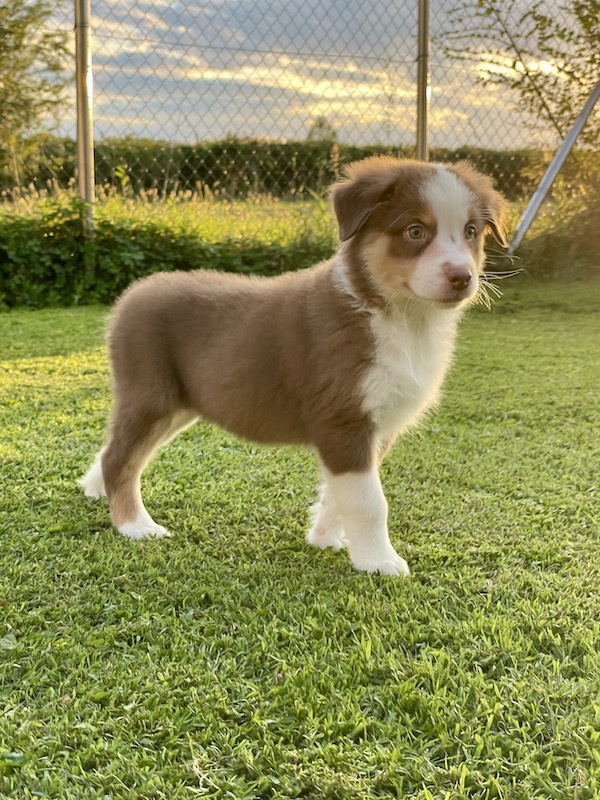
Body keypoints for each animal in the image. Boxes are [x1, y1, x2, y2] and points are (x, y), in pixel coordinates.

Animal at [81, 156, 506, 580]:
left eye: (471, 232)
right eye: (415, 231)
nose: (462, 277)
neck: (401, 317)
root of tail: (132, 294)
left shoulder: (375, 428)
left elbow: (339, 494)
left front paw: (326, 539)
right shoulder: (344, 419)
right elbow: (370, 500)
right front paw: (379, 561)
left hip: (177, 406)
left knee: (114, 449)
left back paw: (96, 487)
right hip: (150, 395)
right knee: (121, 459)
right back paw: (136, 526)